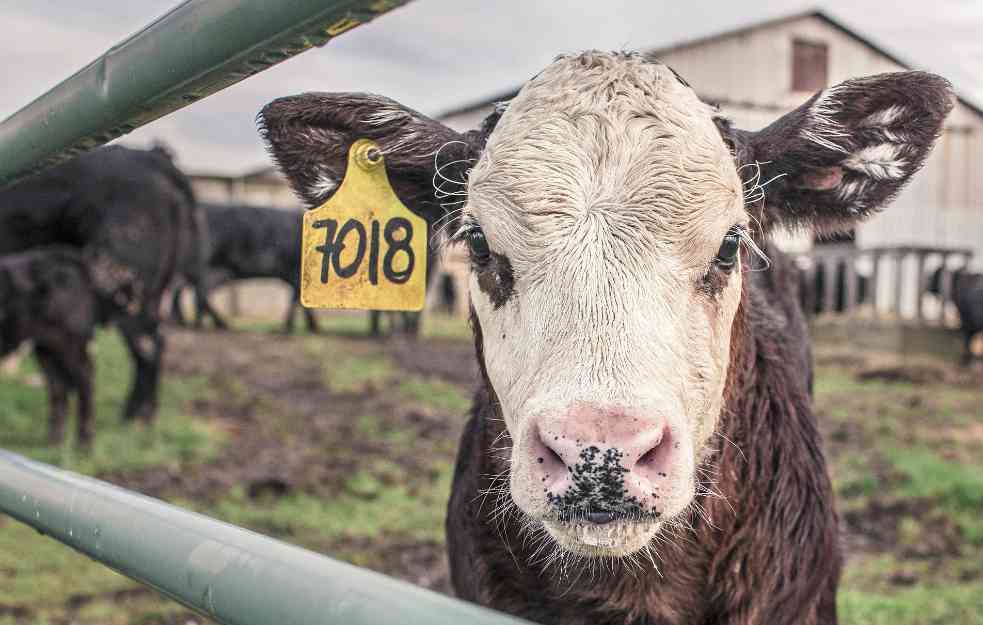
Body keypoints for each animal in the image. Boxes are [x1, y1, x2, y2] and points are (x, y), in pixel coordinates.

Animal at [0, 244, 102, 444]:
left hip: (71, 343)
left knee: (85, 380)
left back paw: (83, 442)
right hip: (47, 347)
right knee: (58, 385)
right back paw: (55, 440)